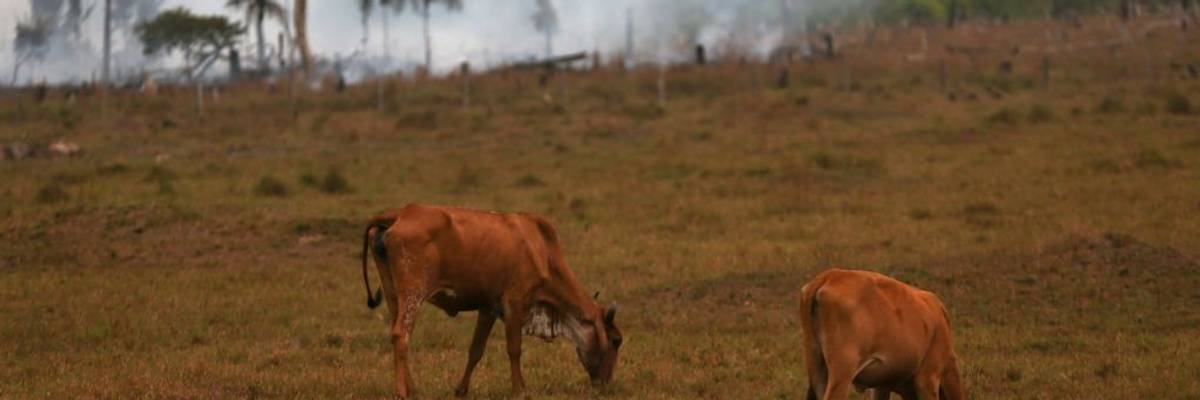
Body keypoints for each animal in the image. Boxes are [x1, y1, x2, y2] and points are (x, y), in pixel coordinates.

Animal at [360, 204, 623, 398]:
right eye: (615, 341)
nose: (607, 383)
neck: (542, 252)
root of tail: (401, 213)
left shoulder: (488, 308)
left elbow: (476, 350)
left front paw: (461, 389)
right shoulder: (515, 303)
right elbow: (514, 349)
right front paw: (520, 389)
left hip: (394, 294)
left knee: (397, 332)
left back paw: (413, 388)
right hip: (413, 293)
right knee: (401, 335)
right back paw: (402, 392)